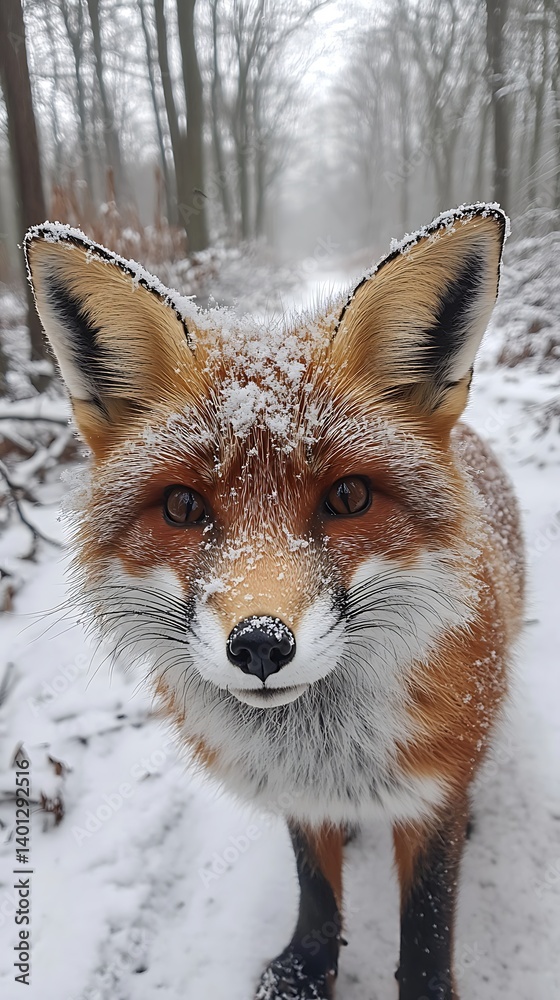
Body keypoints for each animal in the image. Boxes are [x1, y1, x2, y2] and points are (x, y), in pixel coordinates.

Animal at [24, 204, 524, 1000]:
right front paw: (305, 970)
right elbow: (315, 887)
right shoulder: (295, 792)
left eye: (348, 497)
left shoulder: (434, 788)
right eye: (182, 506)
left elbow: (428, 919)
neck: (324, 750)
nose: (260, 643)